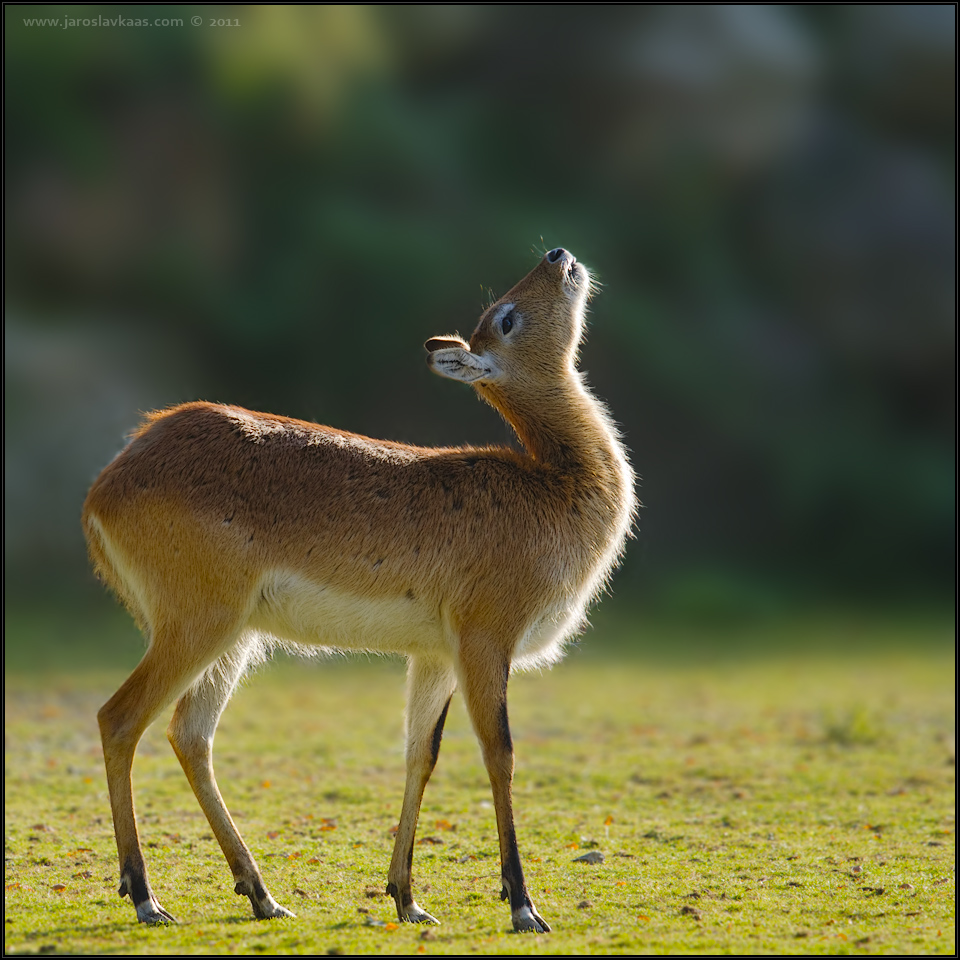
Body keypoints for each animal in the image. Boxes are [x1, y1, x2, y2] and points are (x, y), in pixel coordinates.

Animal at [82, 246, 632, 928]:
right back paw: (146, 897)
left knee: (190, 733)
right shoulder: (486, 640)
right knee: (120, 718)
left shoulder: (434, 655)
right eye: (504, 317)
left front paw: (408, 898)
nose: (558, 255)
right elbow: (499, 751)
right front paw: (523, 906)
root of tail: (112, 477)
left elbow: (421, 753)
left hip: (234, 638)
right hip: (199, 626)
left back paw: (263, 895)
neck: (553, 486)